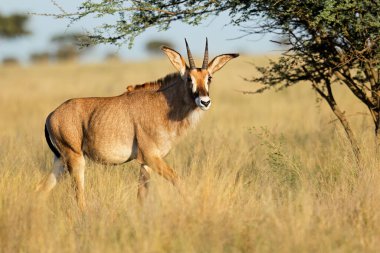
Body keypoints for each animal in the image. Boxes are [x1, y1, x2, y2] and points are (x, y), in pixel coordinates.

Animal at [35, 39, 238, 210]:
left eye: (209, 77)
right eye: (189, 78)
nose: (205, 101)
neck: (162, 105)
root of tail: (52, 115)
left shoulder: (146, 163)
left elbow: (141, 195)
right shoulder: (150, 157)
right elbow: (179, 181)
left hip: (61, 161)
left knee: (41, 190)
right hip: (75, 159)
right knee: (79, 197)